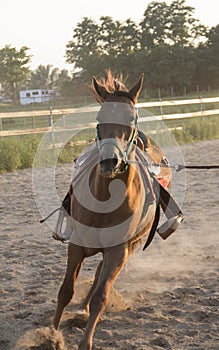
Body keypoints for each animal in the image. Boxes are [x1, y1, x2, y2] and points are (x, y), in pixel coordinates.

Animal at [53, 72, 157, 348]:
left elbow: (101, 296)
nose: (110, 160)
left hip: (127, 246)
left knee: (101, 276)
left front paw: (85, 341)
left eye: (130, 119)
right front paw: (51, 334)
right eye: (100, 118)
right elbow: (65, 291)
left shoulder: (118, 250)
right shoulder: (76, 245)